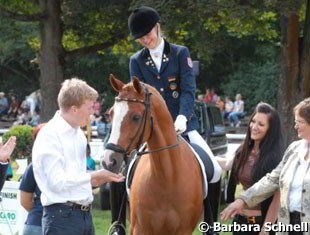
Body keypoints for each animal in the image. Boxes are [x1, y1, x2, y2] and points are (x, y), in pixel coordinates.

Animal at [101, 75, 203, 235]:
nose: (109, 161)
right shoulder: (140, 229)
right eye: (110, 114)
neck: (167, 177)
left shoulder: (183, 230)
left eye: (136, 117)